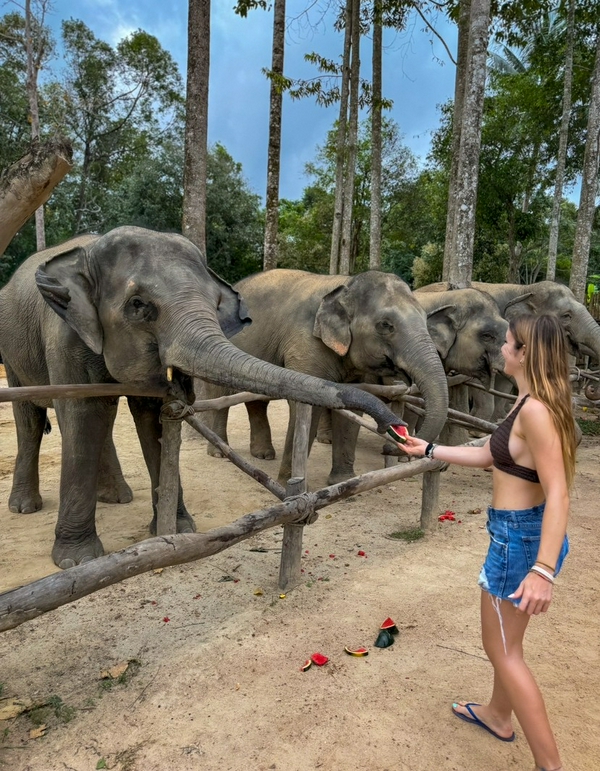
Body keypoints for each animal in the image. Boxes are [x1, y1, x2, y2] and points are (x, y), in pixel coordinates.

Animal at [0, 227, 401, 568]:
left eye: (216, 302)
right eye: (137, 304)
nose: (397, 428)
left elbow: (153, 416)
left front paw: (178, 530)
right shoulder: (66, 336)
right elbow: (82, 413)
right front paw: (77, 560)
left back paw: (117, 497)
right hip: (12, 356)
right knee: (32, 418)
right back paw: (25, 507)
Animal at [203, 269, 449, 485]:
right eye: (386, 325)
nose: (390, 445)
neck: (346, 284)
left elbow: (353, 410)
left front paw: (342, 482)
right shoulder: (304, 343)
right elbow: (306, 404)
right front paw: (287, 484)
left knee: (257, 400)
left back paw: (263, 455)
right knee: (219, 395)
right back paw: (219, 453)